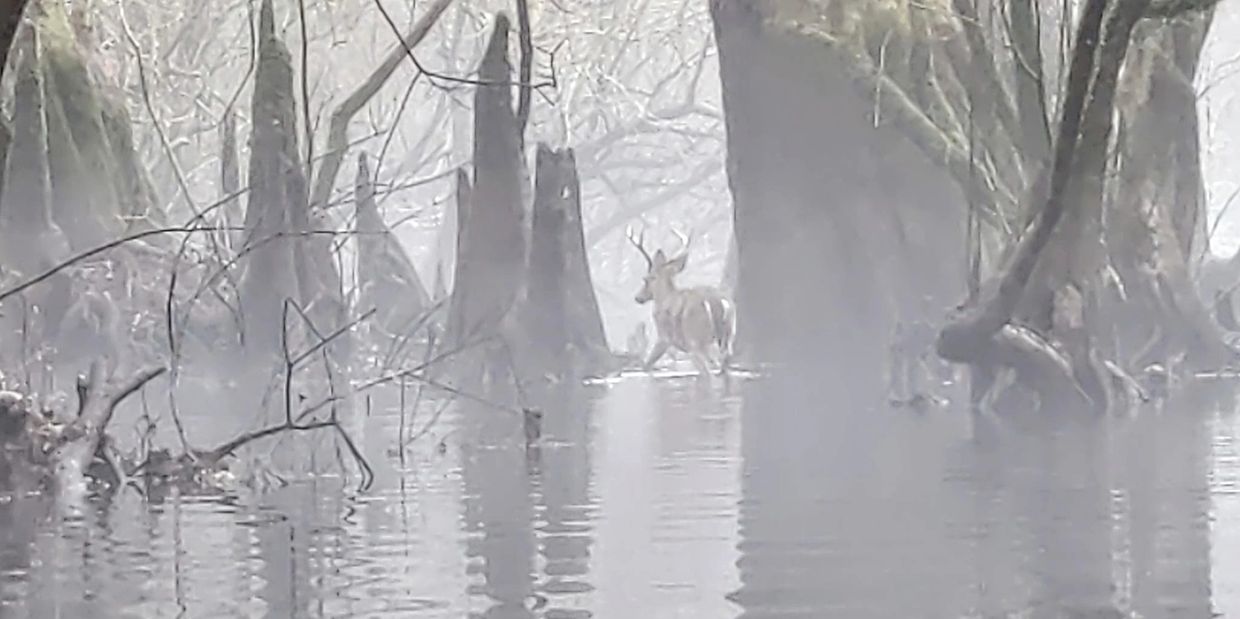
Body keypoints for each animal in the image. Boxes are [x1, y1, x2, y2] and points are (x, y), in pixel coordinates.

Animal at [629, 225, 734, 374]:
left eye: (646, 279)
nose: (638, 297)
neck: (665, 298)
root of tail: (717, 303)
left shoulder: (663, 338)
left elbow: (647, 365)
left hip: (696, 341)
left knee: (708, 370)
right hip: (728, 336)